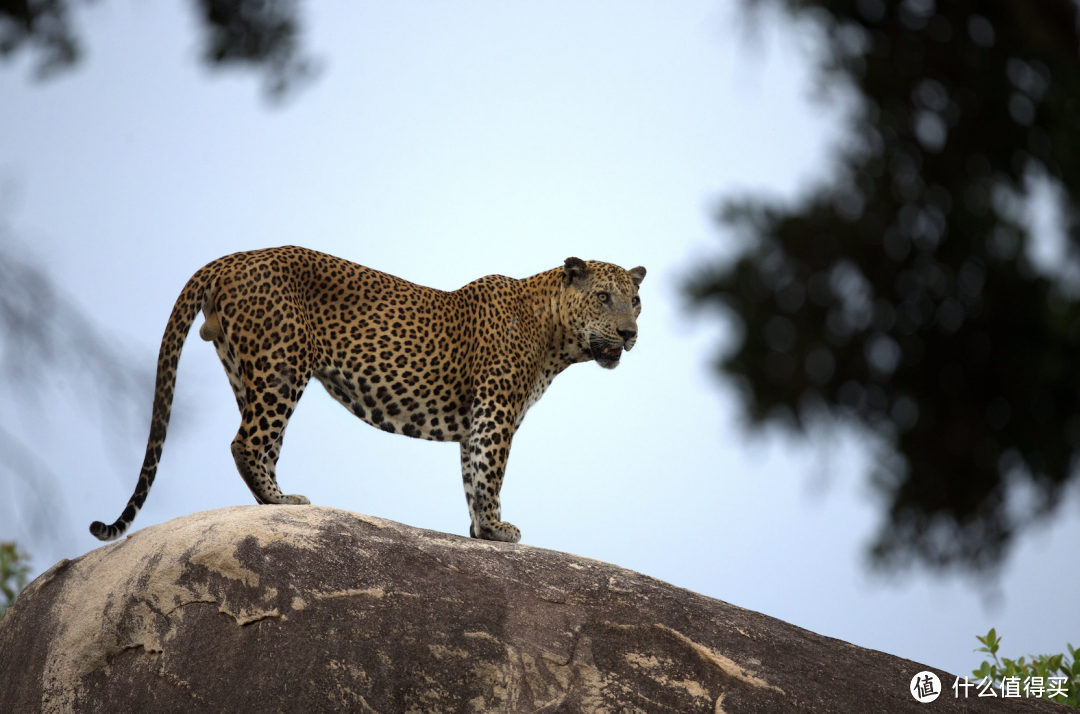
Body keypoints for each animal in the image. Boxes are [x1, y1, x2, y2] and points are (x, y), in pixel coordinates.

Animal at [90, 245, 639, 540]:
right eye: (603, 297)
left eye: (634, 301)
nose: (630, 333)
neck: (555, 336)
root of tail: (229, 259)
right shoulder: (496, 411)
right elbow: (490, 474)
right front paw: (497, 529)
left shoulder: (478, 419)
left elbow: (472, 475)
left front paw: (480, 532)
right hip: (282, 366)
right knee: (246, 442)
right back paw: (282, 502)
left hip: (245, 370)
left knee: (261, 443)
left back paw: (277, 499)